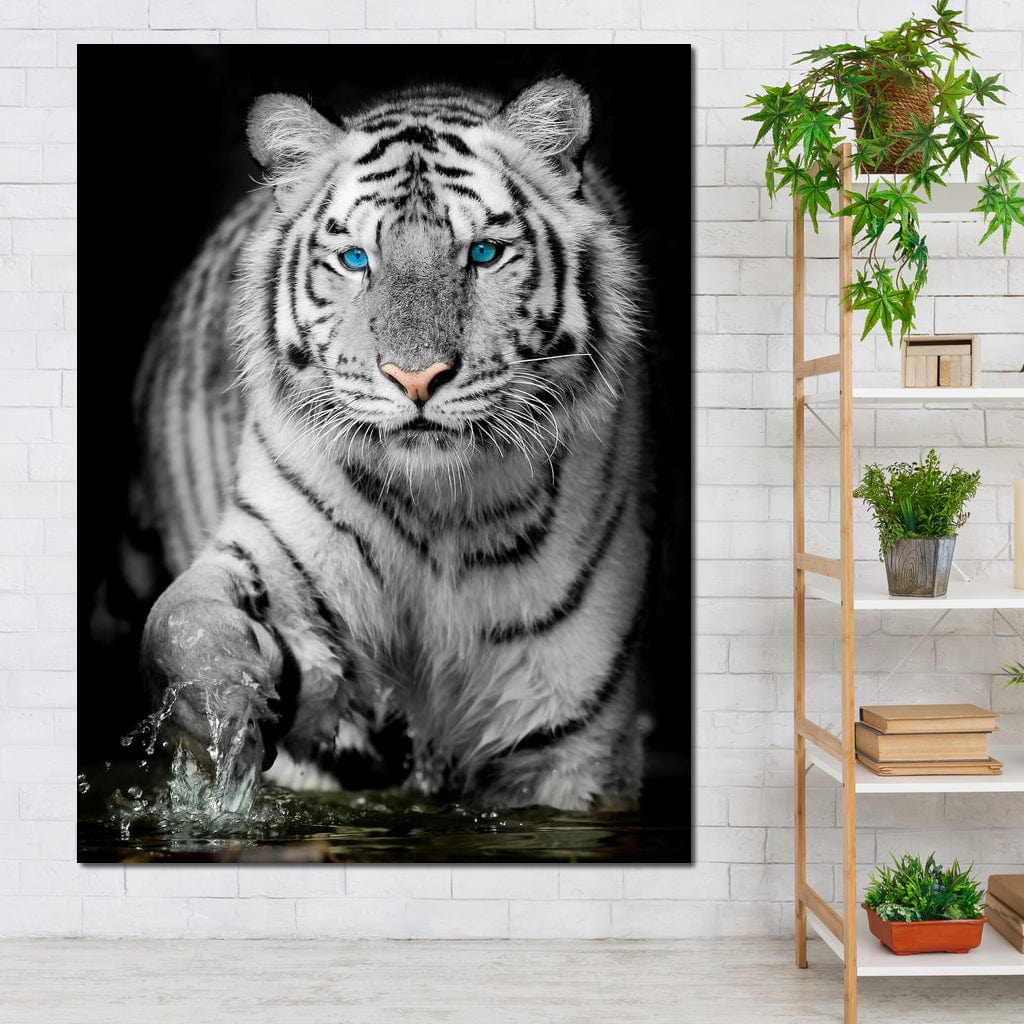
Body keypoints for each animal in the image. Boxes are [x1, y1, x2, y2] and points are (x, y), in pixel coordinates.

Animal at [134, 76, 652, 812]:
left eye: (483, 254)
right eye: (356, 260)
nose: (416, 378)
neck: (438, 510)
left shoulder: (572, 739)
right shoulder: (272, 550)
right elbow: (183, 623)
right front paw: (223, 711)